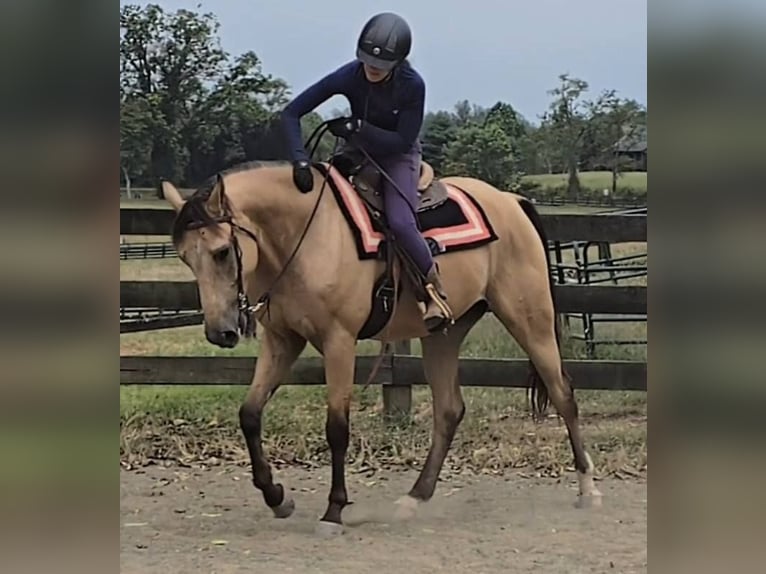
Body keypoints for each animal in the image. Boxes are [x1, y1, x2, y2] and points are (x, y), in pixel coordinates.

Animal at [160, 155, 602, 535]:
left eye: (221, 252)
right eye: (184, 257)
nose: (220, 332)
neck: (307, 234)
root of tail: (511, 201)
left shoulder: (339, 341)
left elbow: (337, 427)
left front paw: (334, 510)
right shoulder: (283, 340)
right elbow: (250, 414)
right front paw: (277, 497)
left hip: (530, 319)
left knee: (563, 393)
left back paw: (588, 489)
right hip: (444, 335)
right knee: (449, 410)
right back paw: (413, 499)